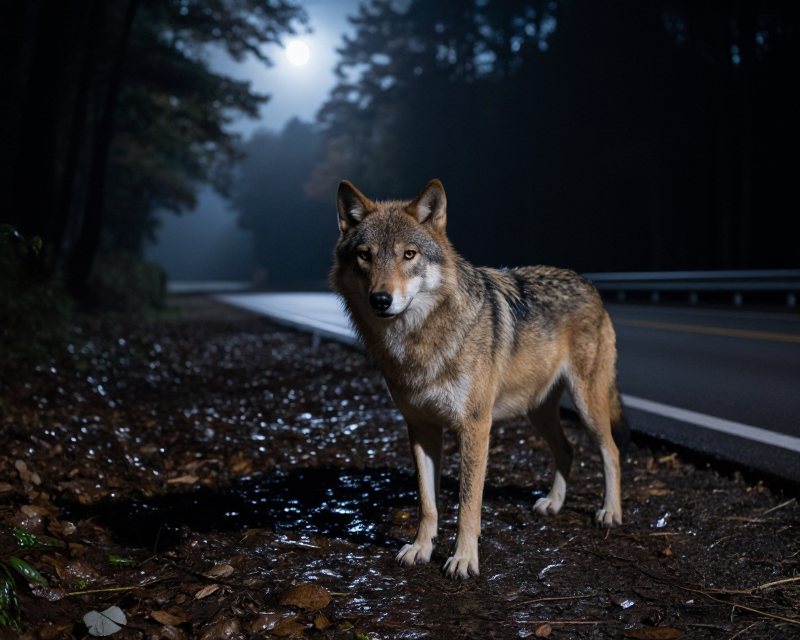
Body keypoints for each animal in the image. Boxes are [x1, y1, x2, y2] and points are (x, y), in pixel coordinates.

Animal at [331, 179, 629, 580]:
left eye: (409, 255)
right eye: (366, 255)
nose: (381, 299)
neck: (418, 343)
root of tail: (587, 282)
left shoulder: (474, 426)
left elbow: (467, 503)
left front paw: (463, 558)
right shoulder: (421, 427)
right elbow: (427, 502)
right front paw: (421, 548)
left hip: (587, 404)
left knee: (610, 451)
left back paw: (610, 512)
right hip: (537, 411)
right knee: (568, 449)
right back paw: (553, 504)